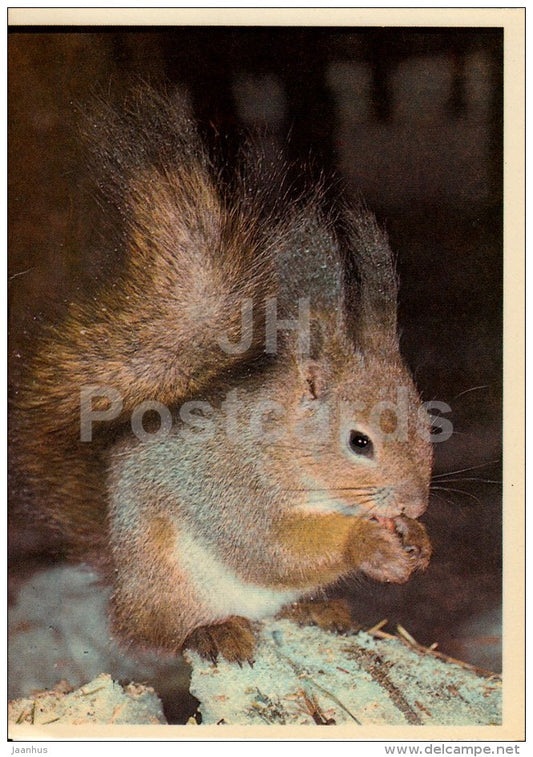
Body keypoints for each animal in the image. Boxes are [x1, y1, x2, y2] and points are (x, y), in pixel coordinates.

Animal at [10, 86, 433, 665]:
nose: (415, 503)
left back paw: (316, 610)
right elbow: (266, 546)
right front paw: (364, 544)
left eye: (429, 425)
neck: (284, 446)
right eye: (359, 442)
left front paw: (419, 540)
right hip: (167, 581)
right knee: (159, 634)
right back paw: (212, 631)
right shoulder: (230, 488)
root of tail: (120, 580)